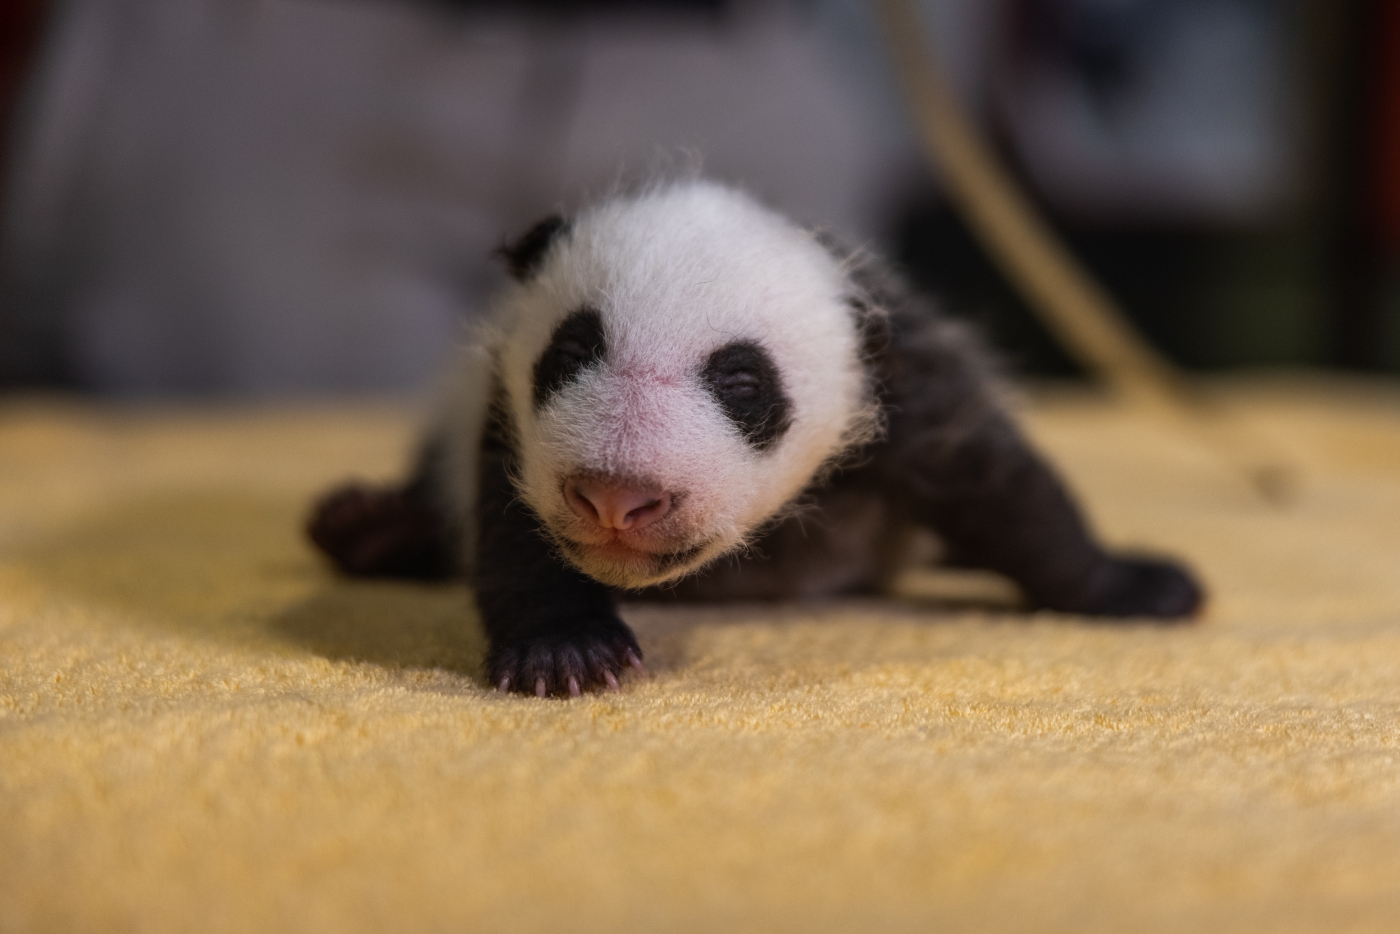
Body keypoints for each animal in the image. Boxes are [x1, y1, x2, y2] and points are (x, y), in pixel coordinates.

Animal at [308, 180, 1203, 698]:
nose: (616, 500)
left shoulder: (899, 382)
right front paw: (564, 650)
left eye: (742, 385)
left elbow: (1003, 490)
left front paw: (1136, 585)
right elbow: (512, 521)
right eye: (569, 353)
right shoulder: (506, 412)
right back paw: (368, 527)